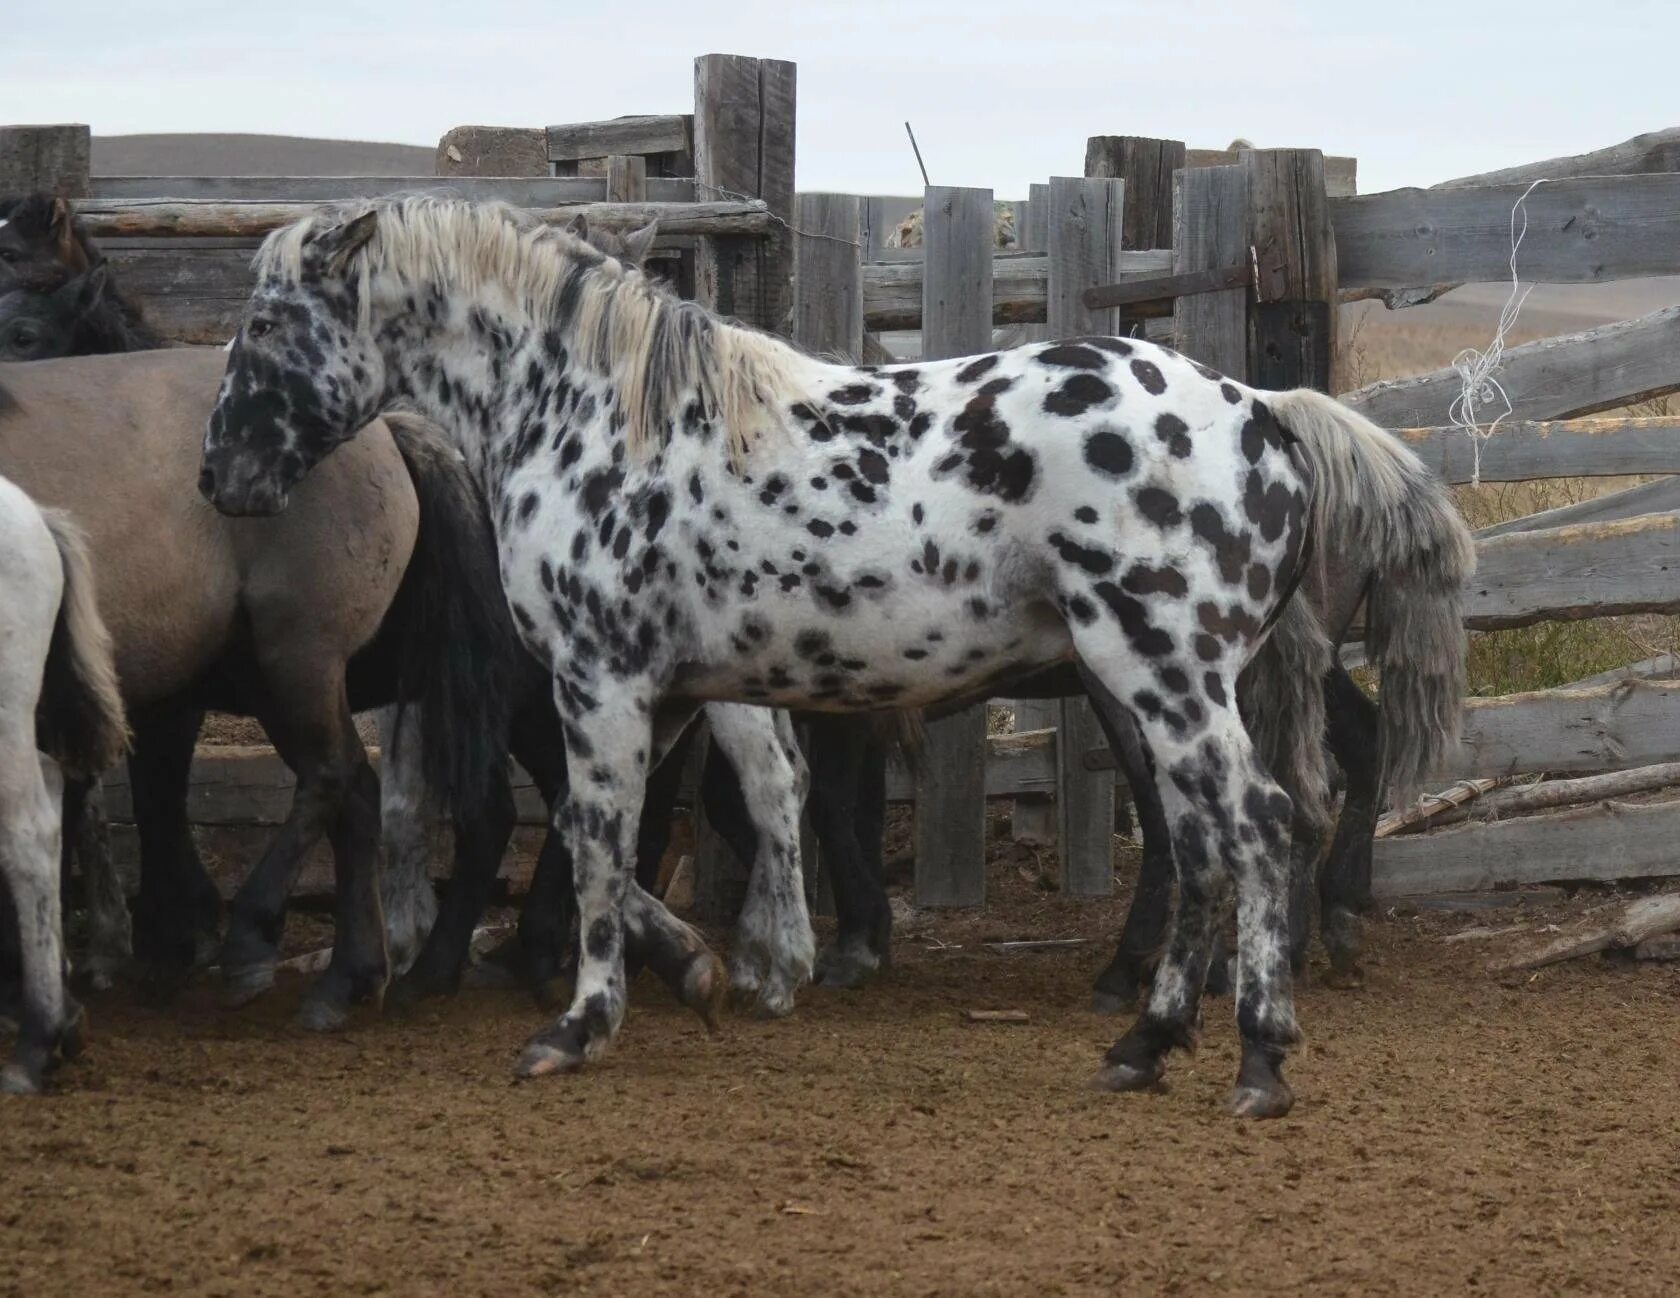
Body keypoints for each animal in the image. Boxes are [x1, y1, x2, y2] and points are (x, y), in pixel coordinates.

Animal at [203, 199, 1478, 1114]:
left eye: (263, 324)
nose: (218, 475)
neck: (590, 415)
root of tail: (1264, 411)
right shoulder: (670, 696)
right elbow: (624, 832)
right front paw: (710, 971)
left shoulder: (600, 681)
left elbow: (606, 843)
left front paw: (577, 1025)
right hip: (1160, 689)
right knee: (1208, 841)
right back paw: (1148, 1039)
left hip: (1165, 676)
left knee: (1257, 827)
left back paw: (1257, 1058)